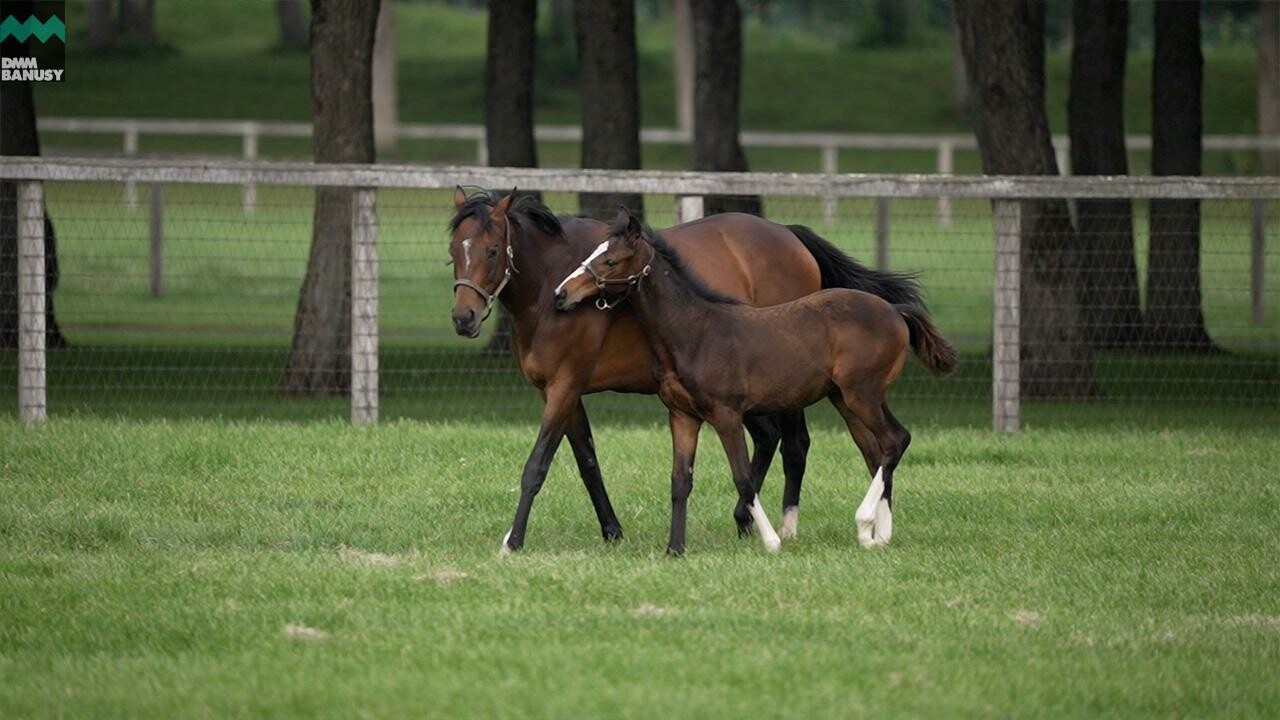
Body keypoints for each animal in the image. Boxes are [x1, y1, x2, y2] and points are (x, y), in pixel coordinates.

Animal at [448, 188, 921, 550]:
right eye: (454, 251)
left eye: (493, 251)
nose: (463, 318)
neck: (547, 287)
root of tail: (791, 235)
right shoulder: (560, 391)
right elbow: (587, 462)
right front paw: (612, 531)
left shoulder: (567, 385)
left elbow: (537, 465)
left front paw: (513, 541)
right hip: (830, 392)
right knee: (858, 446)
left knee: (798, 444)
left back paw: (786, 526)